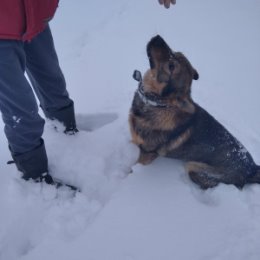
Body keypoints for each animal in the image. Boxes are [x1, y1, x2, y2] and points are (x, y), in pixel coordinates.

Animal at [129, 35, 260, 189]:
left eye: (171, 66)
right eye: (177, 53)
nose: (158, 37)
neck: (158, 104)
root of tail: (252, 168)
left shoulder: (147, 153)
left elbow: (132, 169)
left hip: (194, 167)